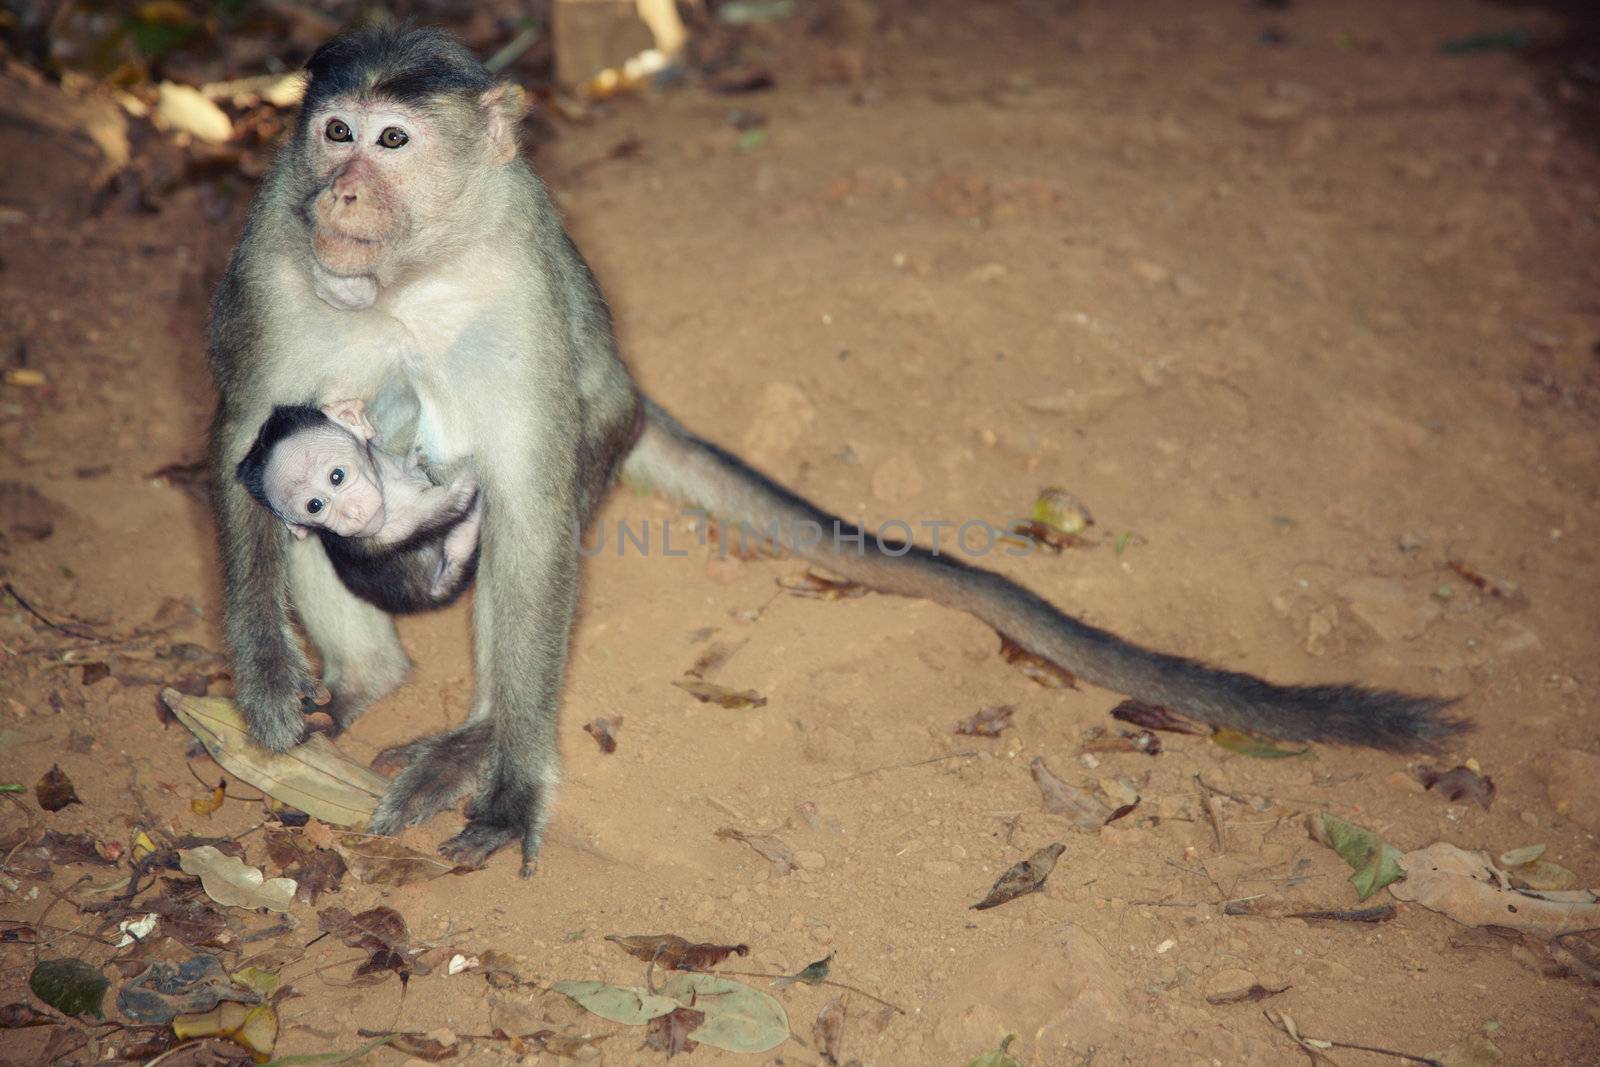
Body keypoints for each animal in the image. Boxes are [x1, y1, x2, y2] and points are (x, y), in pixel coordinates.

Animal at [233, 398, 476, 601]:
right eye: (314, 506)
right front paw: (467, 470)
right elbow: (457, 501)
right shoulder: (396, 526)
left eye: (337, 476)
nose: (351, 513)